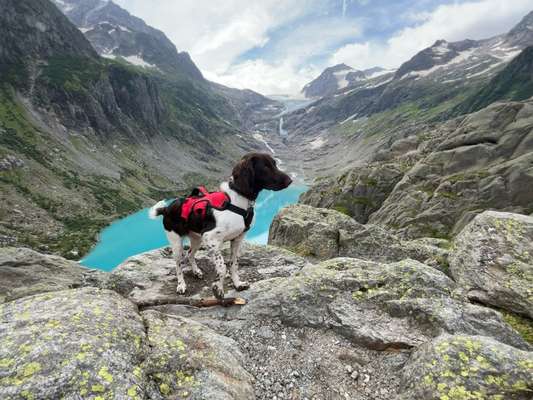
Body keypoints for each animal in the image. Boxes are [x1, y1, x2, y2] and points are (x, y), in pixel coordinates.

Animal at [149, 153, 290, 300]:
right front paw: (218, 288)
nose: (290, 180)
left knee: (190, 254)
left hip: (197, 239)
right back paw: (181, 285)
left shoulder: (237, 239)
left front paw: (237, 284)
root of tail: (166, 208)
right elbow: (222, 267)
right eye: (265, 167)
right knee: (178, 264)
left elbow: (234, 264)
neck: (237, 200)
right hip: (176, 242)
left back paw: (196, 271)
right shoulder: (211, 238)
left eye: (275, 164)